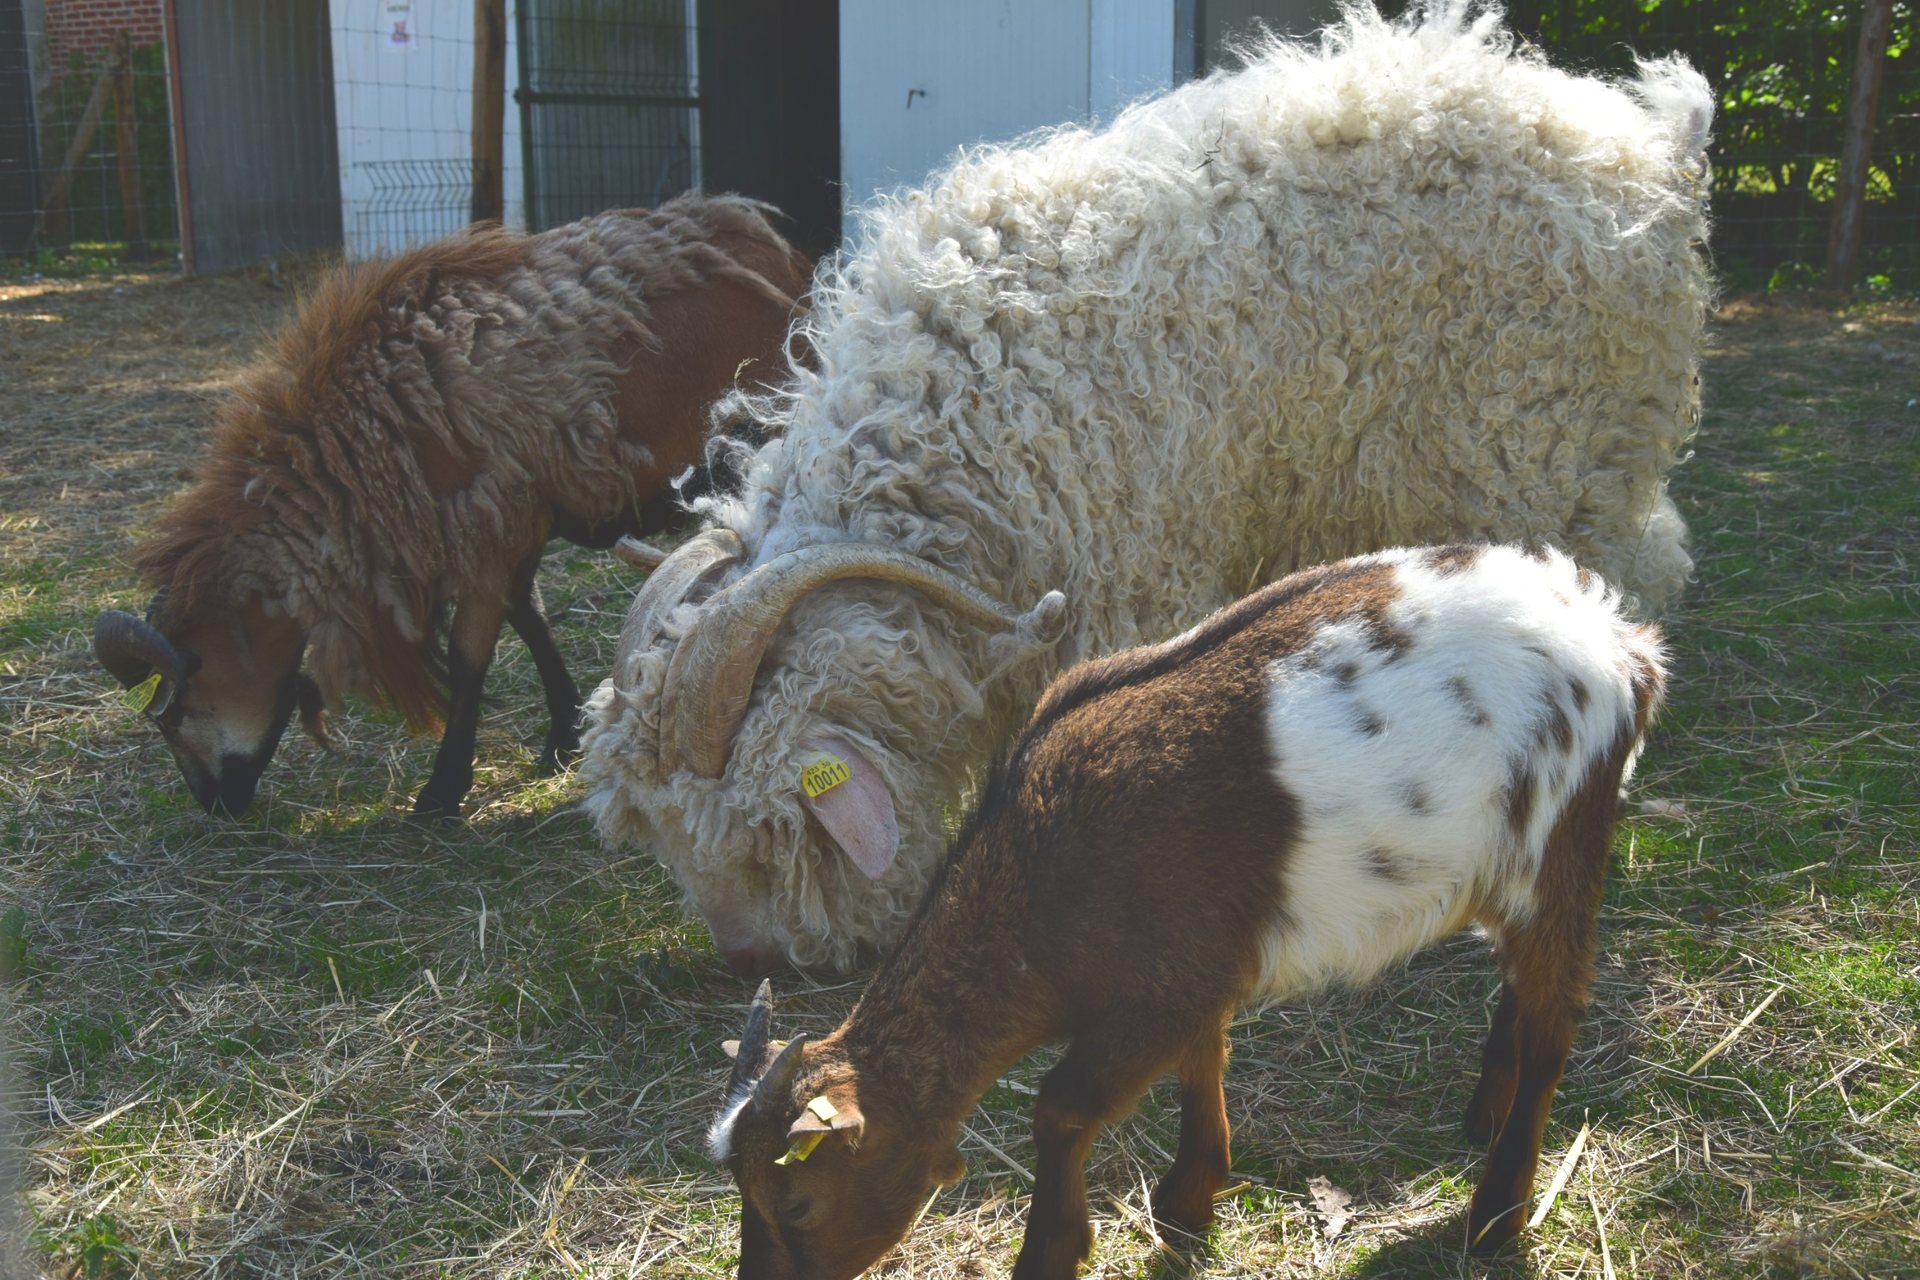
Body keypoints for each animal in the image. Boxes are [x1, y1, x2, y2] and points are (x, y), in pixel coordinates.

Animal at [92, 196, 810, 817]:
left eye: (175, 712)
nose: (214, 804)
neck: (356, 438)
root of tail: (776, 243)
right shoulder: (513, 521)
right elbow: (531, 617)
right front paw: (560, 736)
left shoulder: (487, 524)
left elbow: (470, 657)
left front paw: (440, 793)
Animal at [581, 2, 1713, 973]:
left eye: (763, 836)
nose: (756, 960)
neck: (952, 423)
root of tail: (1649, 145)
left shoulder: (1126, 570)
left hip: (1543, 441)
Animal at [711, 543, 1667, 1277]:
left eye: (798, 1203)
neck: (1040, 878)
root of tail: (1623, 645)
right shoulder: (1199, 970)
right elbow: (1203, 1058)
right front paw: (1189, 1200)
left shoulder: (1158, 985)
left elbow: (1062, 1105)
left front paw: (1054, 1251)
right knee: (1521, 985)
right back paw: (1483, 1116)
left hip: (1561, 840)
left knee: (1554, 1020)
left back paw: (1496, 1216)